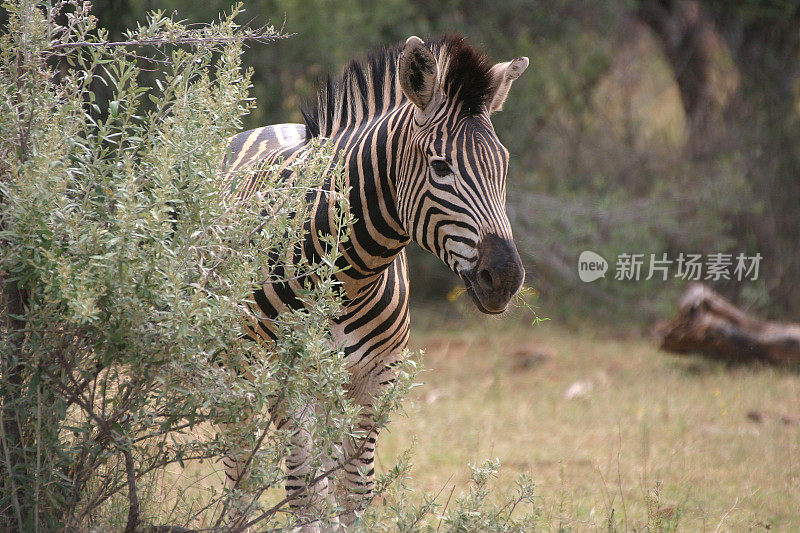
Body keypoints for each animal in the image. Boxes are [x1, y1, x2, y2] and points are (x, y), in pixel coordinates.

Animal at [222, 35, 528, 528]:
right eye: (440, 167)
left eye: (504, 166)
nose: (504, 278)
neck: (347, 280)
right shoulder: (287, 377)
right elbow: (306, 495)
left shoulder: (376, 377)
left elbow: (352, 492)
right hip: (235, 369)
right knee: (240, 473)